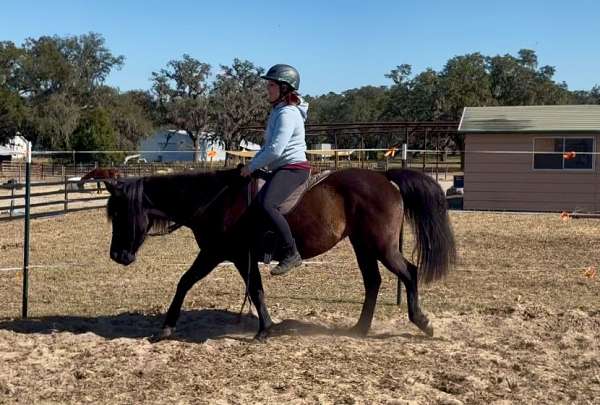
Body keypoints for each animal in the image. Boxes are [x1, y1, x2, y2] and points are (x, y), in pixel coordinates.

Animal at [105, 166, 458, 340]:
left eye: (120, 213)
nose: (117, 256)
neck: (214, 200)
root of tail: (383, 177)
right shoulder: (237, 257)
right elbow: (256, 290)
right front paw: (266, 328)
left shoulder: (218, 254)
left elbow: (185, 283)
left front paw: (166, 327)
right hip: (363, 245)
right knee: (373, 282)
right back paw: (360, 329)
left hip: (382, 246)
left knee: (409, 272)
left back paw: (422, 322)